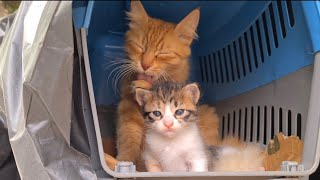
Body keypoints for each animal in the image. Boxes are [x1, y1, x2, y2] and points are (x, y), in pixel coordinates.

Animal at [115, 1, 220, 170]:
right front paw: (124, 162)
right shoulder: (127, 110)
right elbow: (128, 139)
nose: (145, 65)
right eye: (140, 47)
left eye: (162, 54)